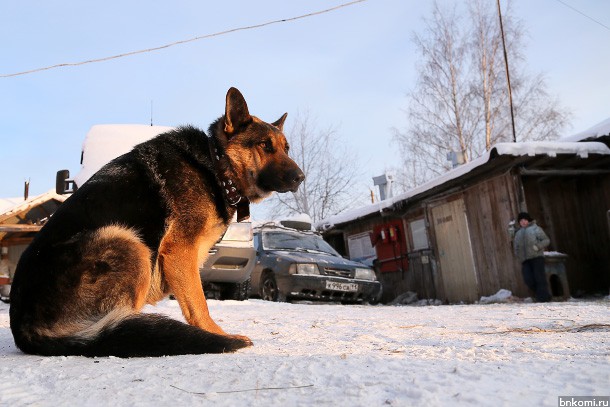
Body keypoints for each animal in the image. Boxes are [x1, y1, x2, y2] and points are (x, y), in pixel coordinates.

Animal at [9, 88, 304, 356]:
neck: (215, 164)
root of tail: (24, 328)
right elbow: (199, 304)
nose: (300, 178)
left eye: (286, 148)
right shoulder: (180, 253)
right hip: (129, 242)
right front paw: (217, 335)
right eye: (265, 146)